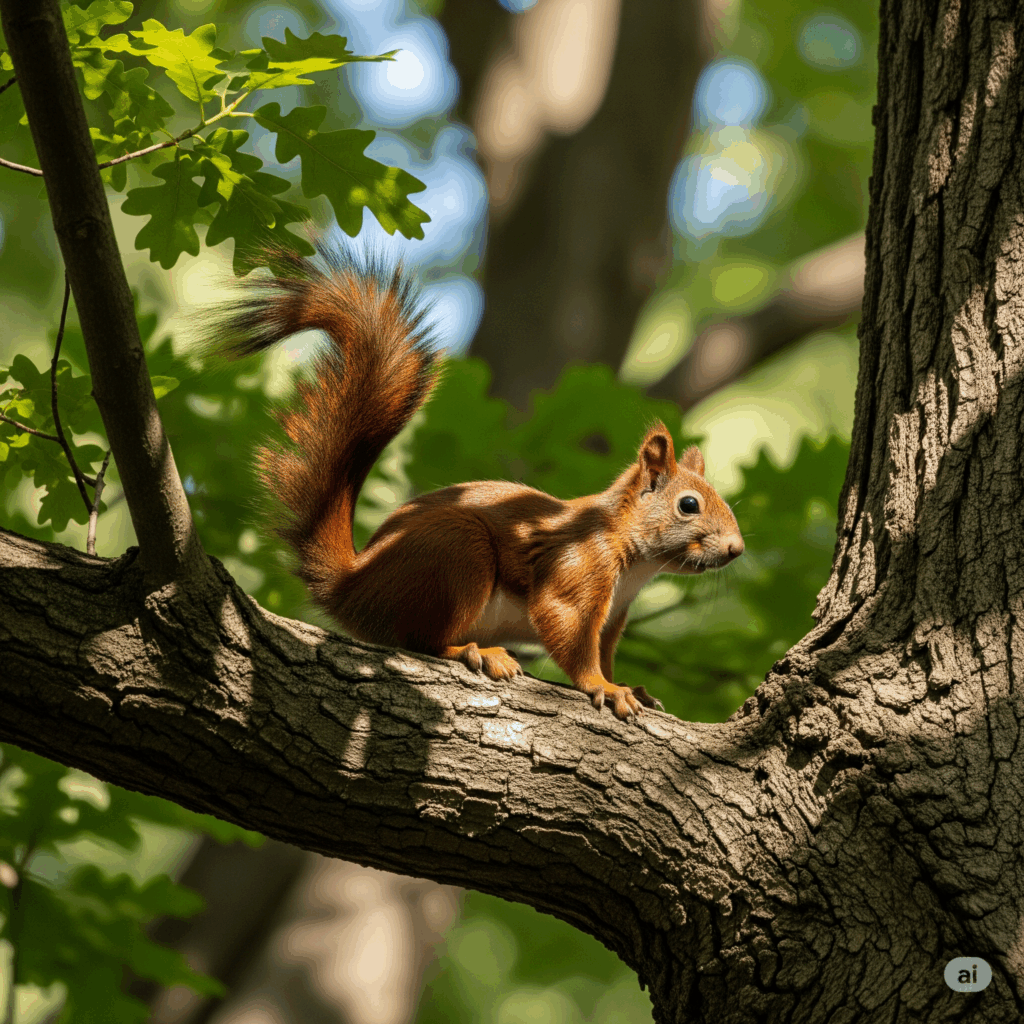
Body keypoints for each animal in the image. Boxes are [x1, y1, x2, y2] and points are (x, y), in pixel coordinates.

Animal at [212, 240, 744, 720]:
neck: (631, 554)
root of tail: (353, 585)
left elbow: (604, 652)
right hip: (456, 555)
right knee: (419, 640)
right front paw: (605, 688)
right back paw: (475, 652)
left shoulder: (614, 617)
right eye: (689, 505)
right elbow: (566, 631)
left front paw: (630, 686)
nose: (737, 549)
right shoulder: (577, 569)